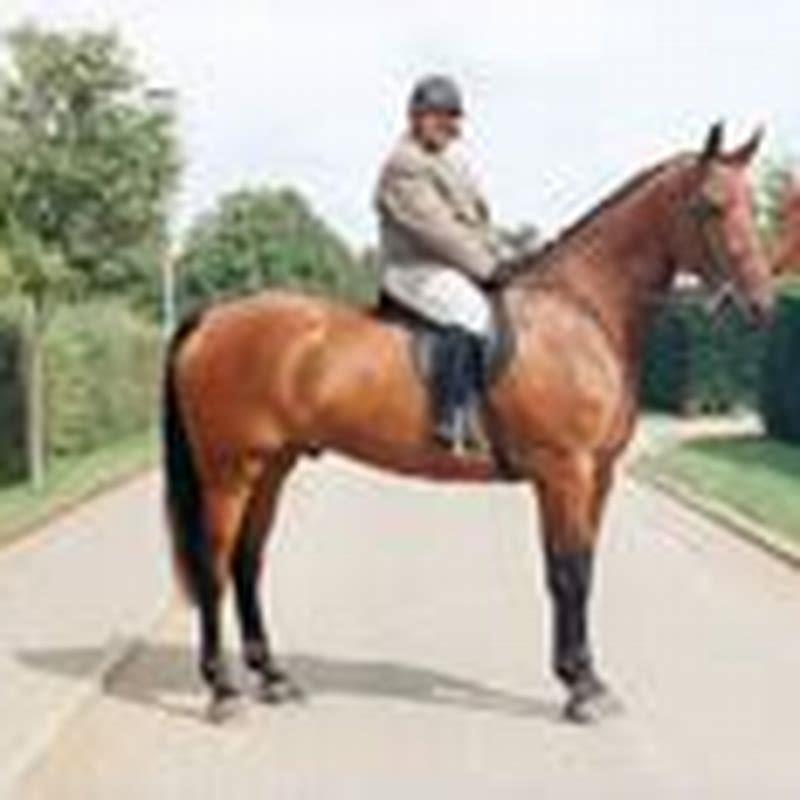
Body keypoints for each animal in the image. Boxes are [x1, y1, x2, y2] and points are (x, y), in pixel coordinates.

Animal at [163, 123, 774, 724]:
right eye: (712, 205)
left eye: (750, 202)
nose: (764, 302)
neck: (580, 314)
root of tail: (212, 318)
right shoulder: (566, 472)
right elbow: (570, 573)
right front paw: (581, 689)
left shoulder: (595, 476)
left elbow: (576, 570)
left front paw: (584, 677)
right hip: (230, 470)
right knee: (215, 564)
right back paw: (222, 691)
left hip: (273, 466)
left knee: (247, 560)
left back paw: (273, 676)